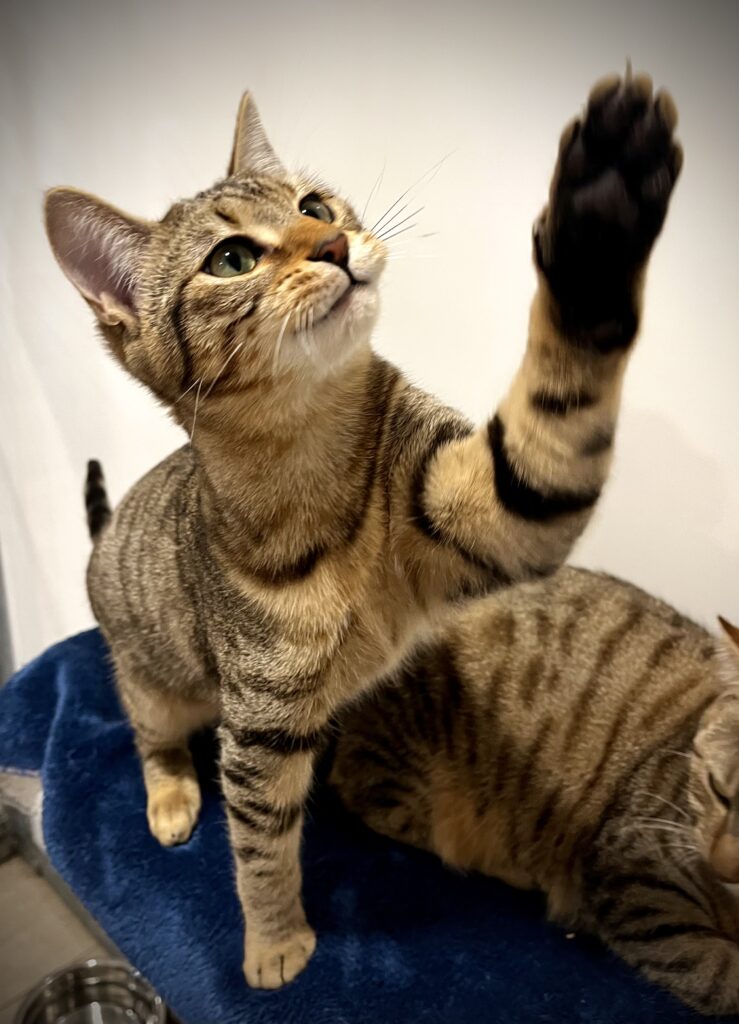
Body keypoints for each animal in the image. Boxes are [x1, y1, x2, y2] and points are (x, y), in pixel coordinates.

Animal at [44, 70, 681, 988]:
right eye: (231, 258)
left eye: (313, 203)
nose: (336, 241)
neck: (321, 462)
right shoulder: (259, 729)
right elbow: (260, 853)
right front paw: (274, 943)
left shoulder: (492, 506)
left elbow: (556, 413)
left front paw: (601, 213)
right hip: (151, 679)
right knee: (148, 735)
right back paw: (168, 797)